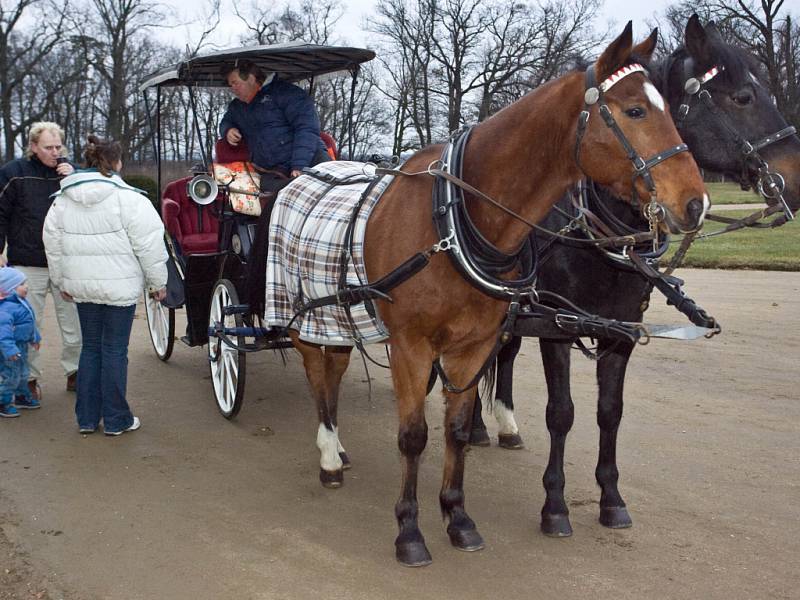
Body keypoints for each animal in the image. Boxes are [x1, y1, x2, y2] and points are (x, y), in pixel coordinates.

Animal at [284, 23, 708, 568]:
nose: (696, 203)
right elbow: (414, 435)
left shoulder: (480, 342)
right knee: (319, 375)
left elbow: (458, 429)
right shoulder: (414, 345)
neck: (452, 219)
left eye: (671, 109)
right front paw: (409, 530)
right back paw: (329, 454)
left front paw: (457, 516)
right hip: (306, 314)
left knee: (335, 370)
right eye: (635, 111)